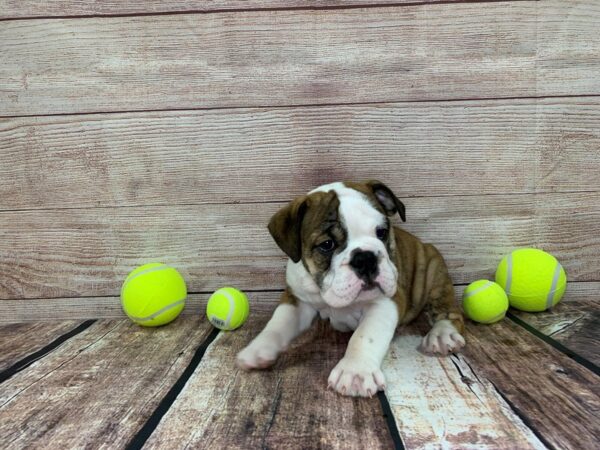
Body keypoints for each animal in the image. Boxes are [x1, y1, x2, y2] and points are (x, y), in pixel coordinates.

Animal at [237, 180, 466, 398]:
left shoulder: (386, 302)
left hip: (434, 269)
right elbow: (278, 323)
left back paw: (442, 335)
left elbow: (364, 336)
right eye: (327, 244)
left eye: (382, 232)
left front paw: (355, 371)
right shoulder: (297, 299)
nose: (365, 258)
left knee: (449, 312)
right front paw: (257, 348)